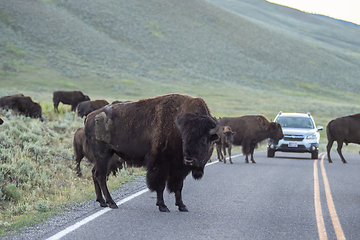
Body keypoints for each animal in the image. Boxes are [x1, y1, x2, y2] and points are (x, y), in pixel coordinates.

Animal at [84, 94, 219, 212]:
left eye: (204, 140)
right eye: (184, 139)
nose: (189, 160)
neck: (176, 128)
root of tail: (89, 117)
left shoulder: (179, 168)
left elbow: (178, 186)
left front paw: (182, 206)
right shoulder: (160, 164)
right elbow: (160, 185)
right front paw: (163, 206)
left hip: (104, 156)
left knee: (94, 173)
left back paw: (102, 202)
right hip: (103, 154)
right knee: (101, 176)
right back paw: (112, 203)